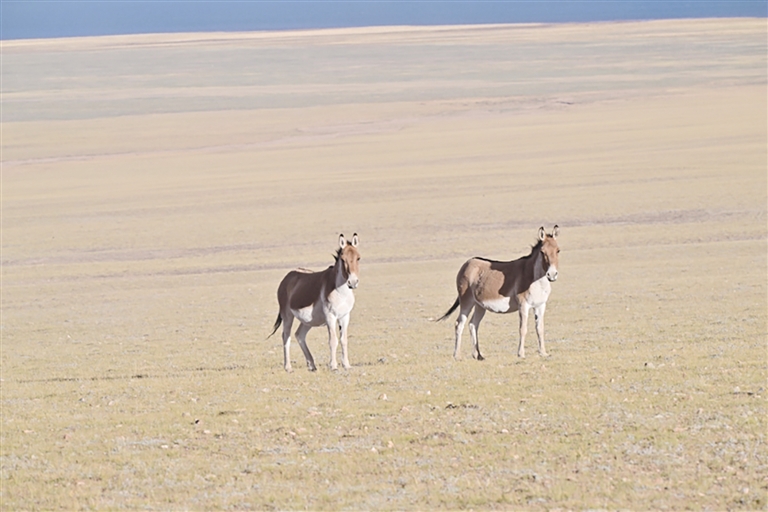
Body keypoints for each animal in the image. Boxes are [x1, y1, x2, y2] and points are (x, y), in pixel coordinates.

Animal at [269, 234, 360, 372]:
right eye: (343, 259)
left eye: (358, 258)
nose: (353, 282)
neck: (340, 291)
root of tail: (288, 276)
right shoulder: (330, 317)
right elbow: (333, 340)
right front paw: (333, 366)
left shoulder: (345, 317)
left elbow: (344, 340)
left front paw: (346, 365)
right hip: (287, 316)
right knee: (286, 336)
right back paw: (288, 367)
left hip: (308, 321)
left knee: (299, 335)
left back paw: (312, 365)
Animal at [439, 226, 560, 360]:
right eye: (542, 252)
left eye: (558, 250)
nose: (552, 275)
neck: (535, 279)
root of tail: (468, 262)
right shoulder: (523, 305)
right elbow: (523, 329)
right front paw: (521, 354)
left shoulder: (540, 305)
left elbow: (540, 328)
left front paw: (543, 352)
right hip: (466, 301)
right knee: (459, 324)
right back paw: (457, 355)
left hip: (479, 305)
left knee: (473, 324)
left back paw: (478, 355)